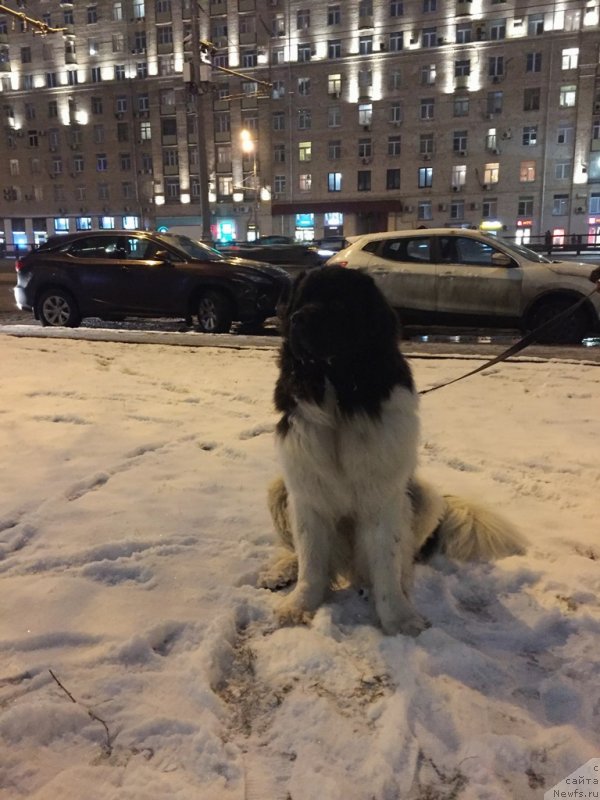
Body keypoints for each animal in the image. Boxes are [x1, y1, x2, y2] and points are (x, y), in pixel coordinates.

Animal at [258, 268, 524, 636]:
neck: (341, 402)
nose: (297, 319)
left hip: (426, 496)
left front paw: (398, 617)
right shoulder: (306, 490)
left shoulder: (383, 497)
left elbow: (386, 560)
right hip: (279, 488)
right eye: (299, 301)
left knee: (404, 559)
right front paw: (299, 605)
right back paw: (283, 568)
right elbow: (311, 558)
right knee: (296, 548)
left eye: (338, 303)